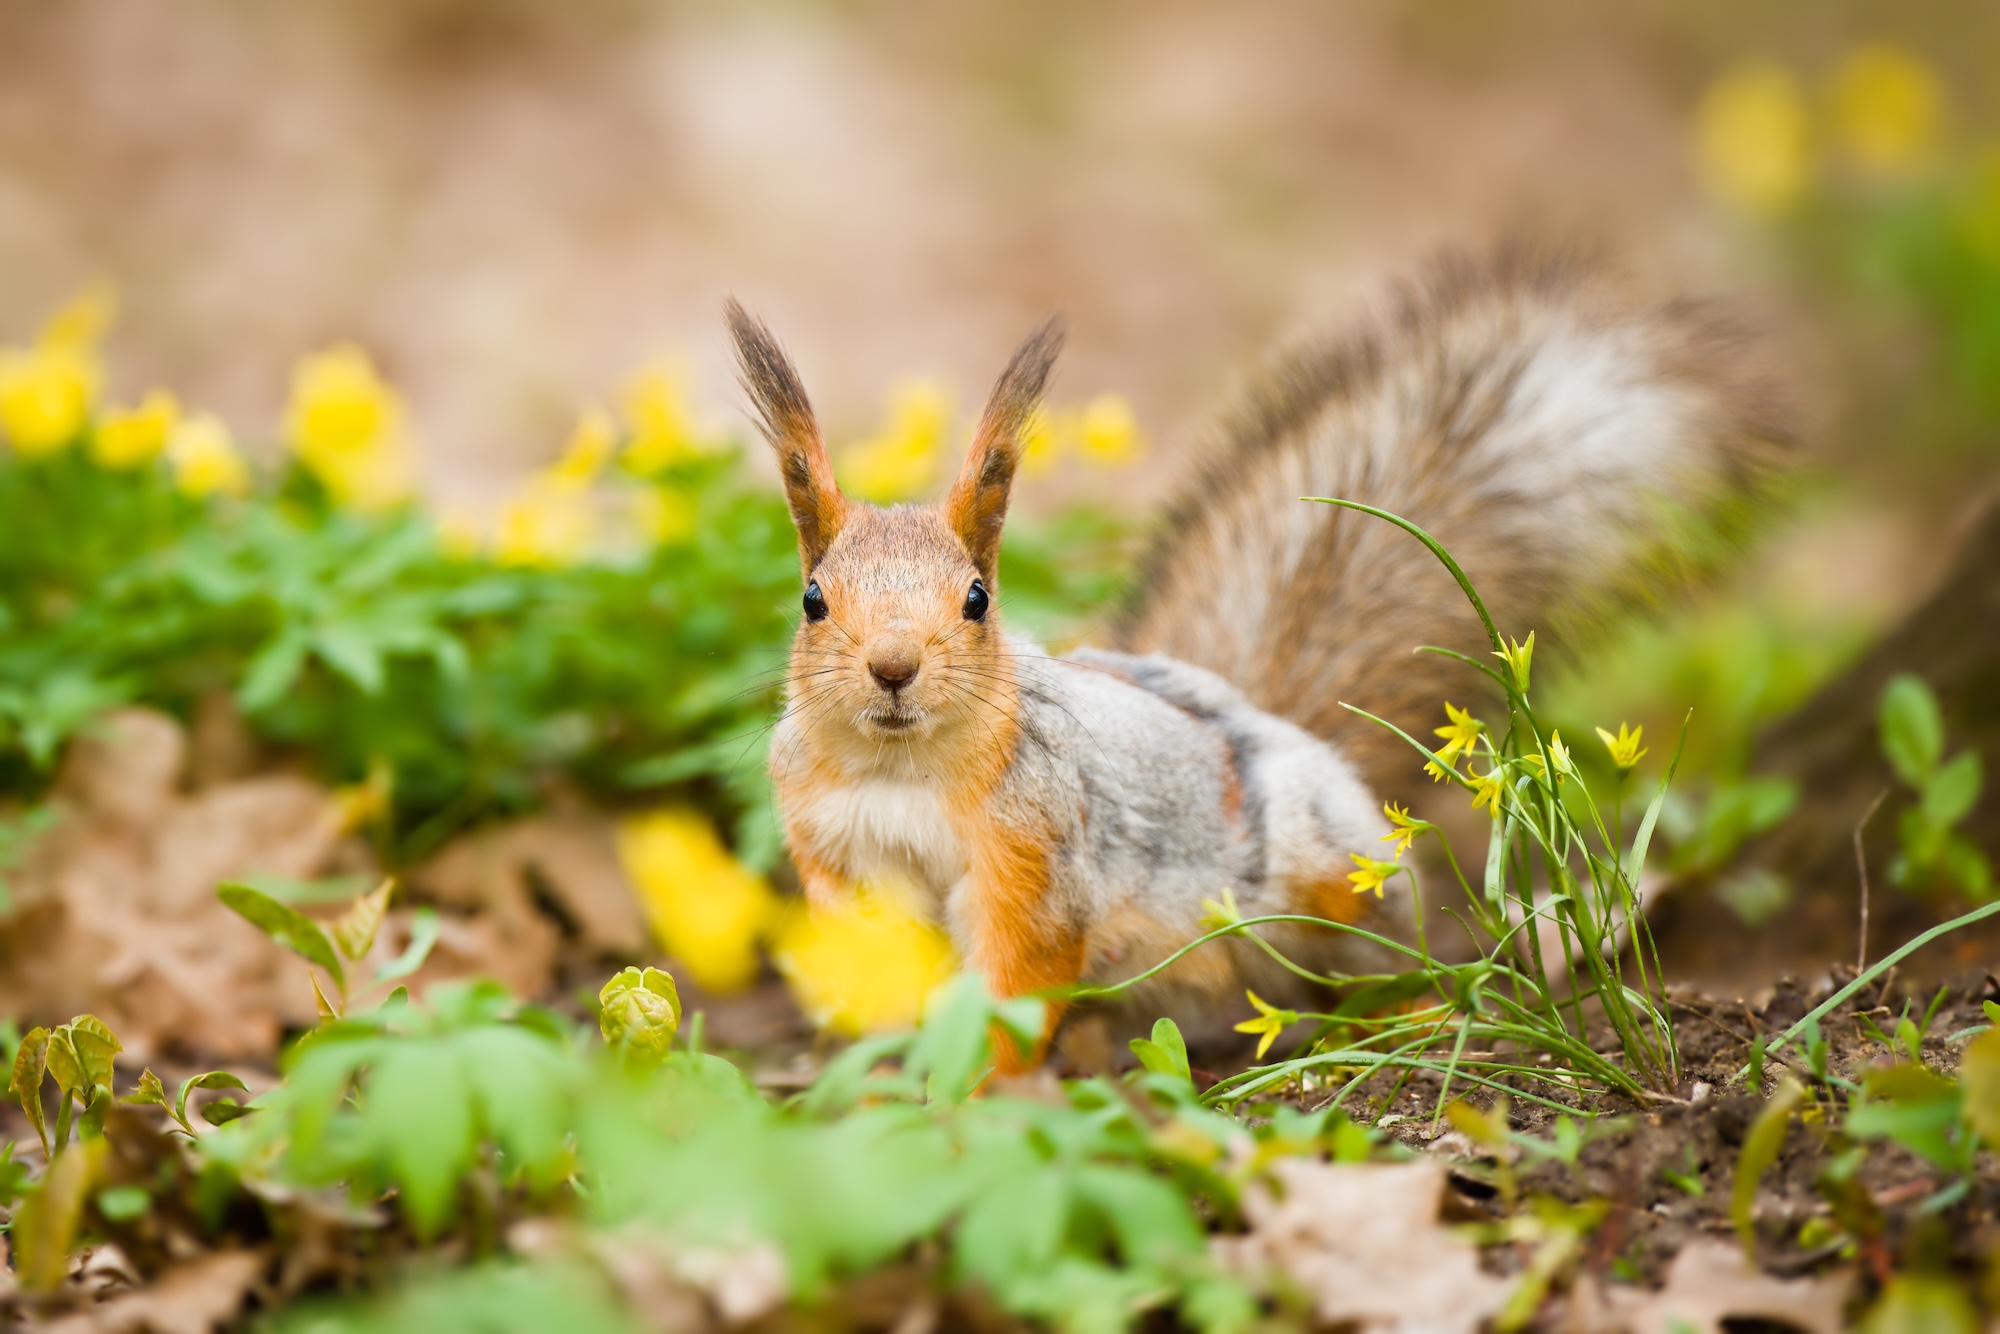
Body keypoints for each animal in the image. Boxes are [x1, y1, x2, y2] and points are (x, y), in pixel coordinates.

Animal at [725, 247, 1791, 1067]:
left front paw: (976, 1090)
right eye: (813, 600)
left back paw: (1411, 1011)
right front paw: (873, 1080)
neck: (900, 767)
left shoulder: (1037, 855)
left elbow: (1016, 986)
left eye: (978, 601)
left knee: (1391, 958)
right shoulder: (839, 860)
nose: (893, 667)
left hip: (1330, 877)